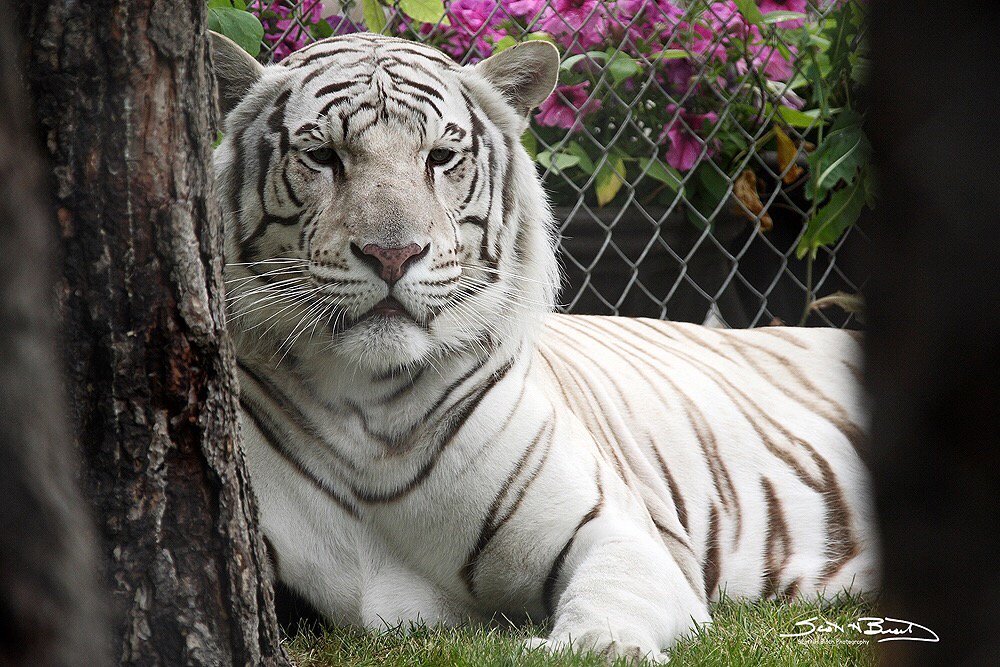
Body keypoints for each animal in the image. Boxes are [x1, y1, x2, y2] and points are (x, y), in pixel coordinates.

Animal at [210, 30, 879, 662]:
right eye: (322, 156)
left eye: (440, 157)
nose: (392, 254)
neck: (370, 405)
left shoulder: (625, 535)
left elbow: (608, 607)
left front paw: (597, 646)